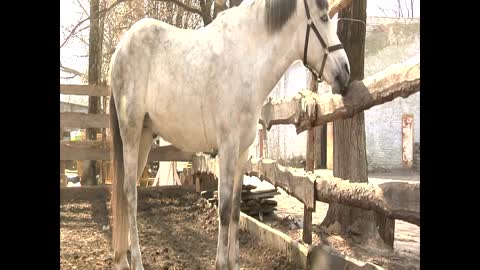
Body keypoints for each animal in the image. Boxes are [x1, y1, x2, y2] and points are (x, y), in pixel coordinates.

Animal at [108, 0, 348, 268]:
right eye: (324, 18)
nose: (345, 72)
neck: (247, 58)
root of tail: (120, 50)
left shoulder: (243, 151)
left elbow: (234, 209)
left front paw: (234, 262)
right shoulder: (228, 148)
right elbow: (223, 209)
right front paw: (221, 262)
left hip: (145, 136)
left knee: (127, 191)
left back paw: (122, 257)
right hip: (130, 133)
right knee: (130, 194)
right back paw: (135, 261)